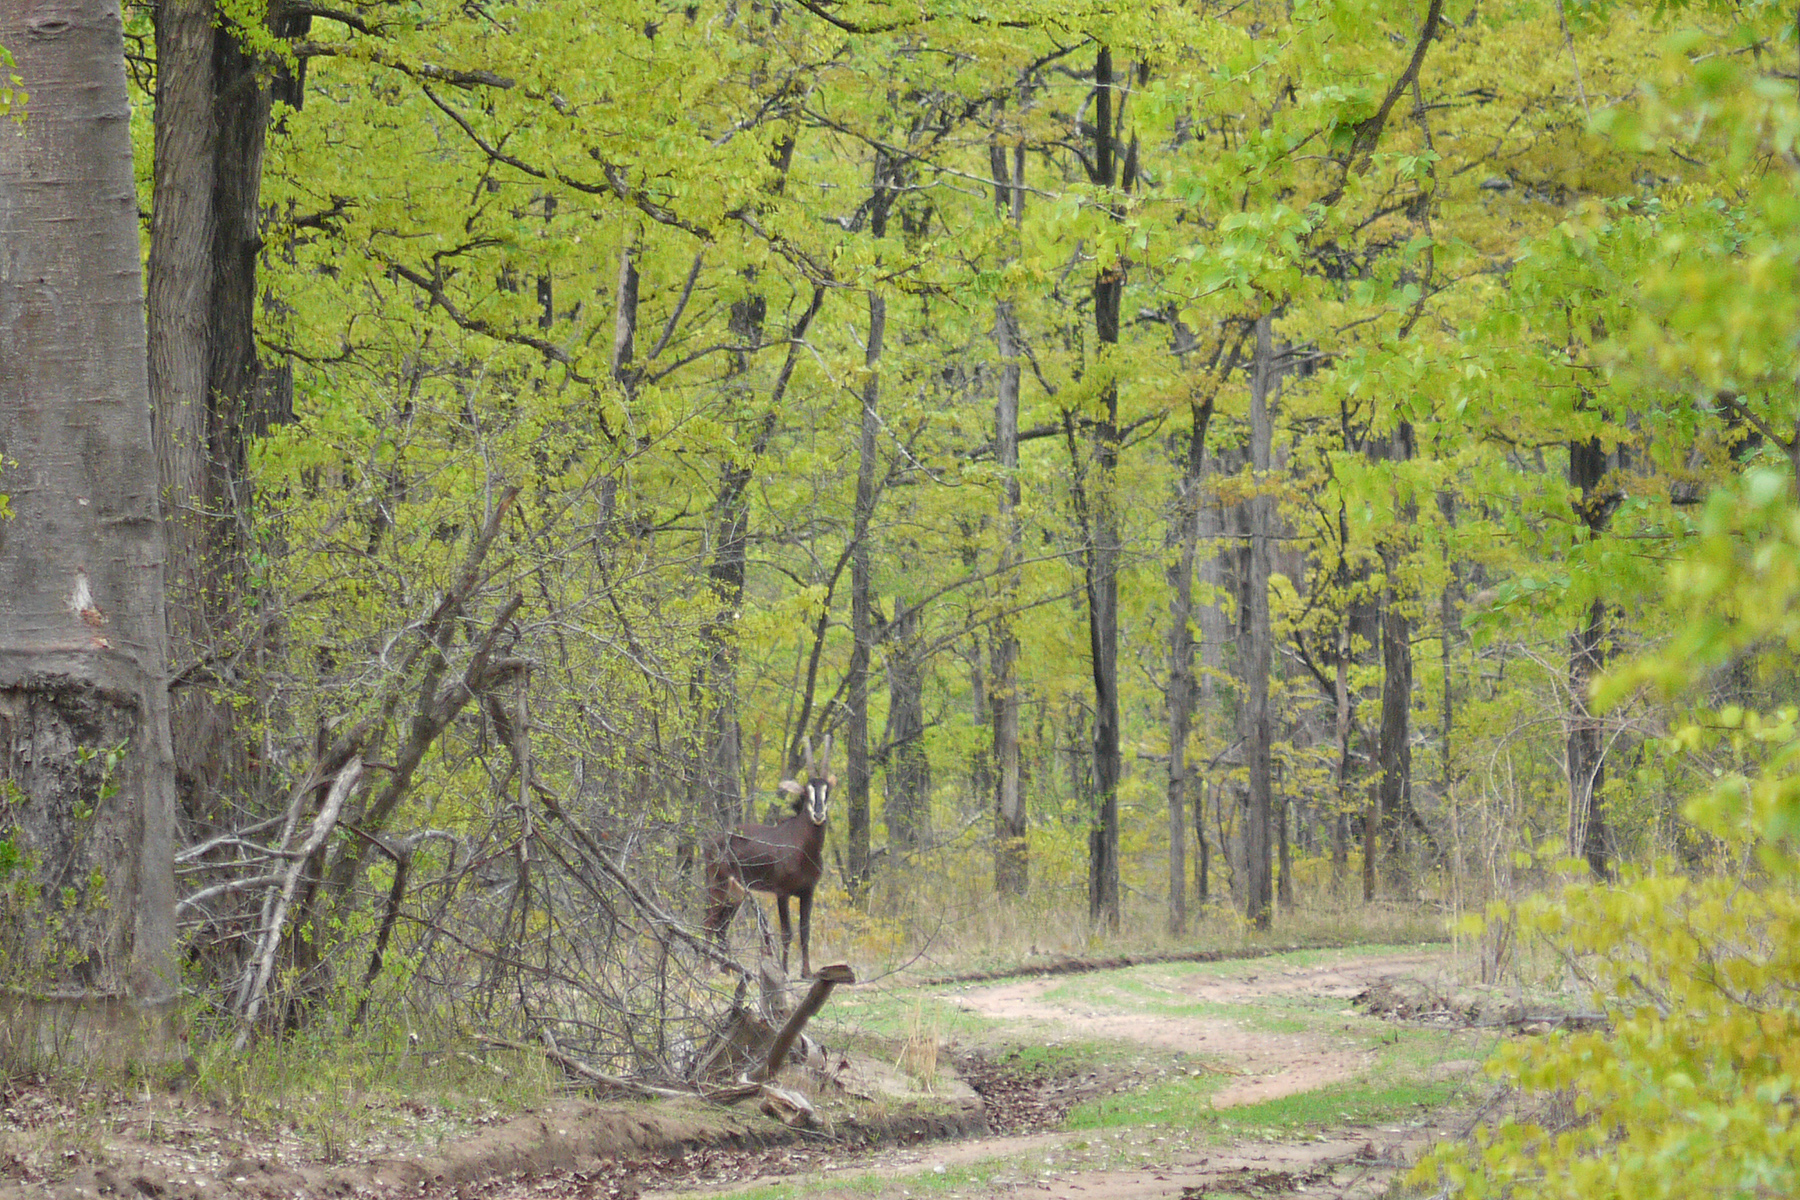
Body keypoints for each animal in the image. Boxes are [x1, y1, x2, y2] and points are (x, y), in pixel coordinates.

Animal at [704, 735, 833, 979]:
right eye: (806, 792)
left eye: (827, 791)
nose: (818, 814)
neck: (804, 848)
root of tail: (711, 842)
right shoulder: (782, 892)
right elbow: (787, 933)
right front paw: (784, 971)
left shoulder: (808, 892)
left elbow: (805, 931)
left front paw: (807, 973)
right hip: (717, 887)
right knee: (709, 922)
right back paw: (705, 966)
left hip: (736, 895)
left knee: (721, 927)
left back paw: (727, 969)